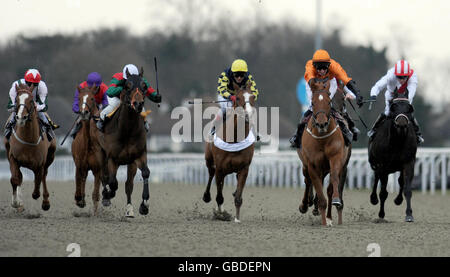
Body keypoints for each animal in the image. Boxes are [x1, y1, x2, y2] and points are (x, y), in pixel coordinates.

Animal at [71, 84, 107, 213]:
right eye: (79, 98)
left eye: (92, 98)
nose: (84, 113)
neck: (88, 144)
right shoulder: (80, 165)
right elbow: (78, 181)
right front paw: (80, 200)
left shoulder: (98, 169)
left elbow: (95, 195)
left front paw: (95, 212)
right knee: (83, 179)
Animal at [97, 67, 149, 218]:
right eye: (127, 86)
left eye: (144, 86)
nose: (138, 104)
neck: (127, 130)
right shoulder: (112, 158)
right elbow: (112, 182)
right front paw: (107, 195)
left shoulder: (139, 155)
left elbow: (145, 173)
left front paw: (144, 205)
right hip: (100, 154)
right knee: (104, 175)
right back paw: (106, 196)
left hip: (130, 163)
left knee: (128, 184)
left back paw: (129, 209)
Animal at [202, 82, 255, 222]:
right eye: (238, 98)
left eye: (253, 96)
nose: (248, 114)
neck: (234, 139)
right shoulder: (220, 168)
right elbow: (219, 196)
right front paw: (221, 213)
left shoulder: (244, 168)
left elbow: (238, 197)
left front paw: (237, 219)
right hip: (210, 162)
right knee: (211, 175)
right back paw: (207, 197)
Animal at [298, 77, 354, 224]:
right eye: (312, 102)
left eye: (329, 101)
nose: (322, 124)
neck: (322, 139)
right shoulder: (312, 164)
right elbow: (315, 183)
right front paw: (322, 216)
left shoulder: (336, 159)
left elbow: (331, 185)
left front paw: (331, 212)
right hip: (306, 164)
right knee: (307, 180)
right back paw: (305, 204)